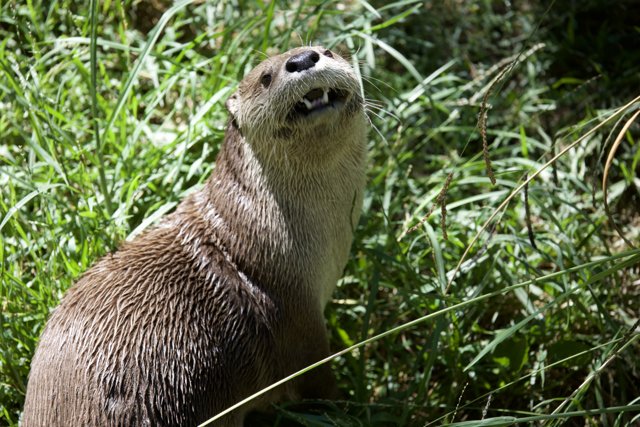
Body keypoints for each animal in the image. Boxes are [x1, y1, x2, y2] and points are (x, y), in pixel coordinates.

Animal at [22, 47, 368, 427]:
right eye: (266, 77)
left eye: (328, 51)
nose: (304, 59)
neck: (263, 234)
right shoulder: (296, 321)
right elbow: (317, 381)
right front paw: (353, 410)